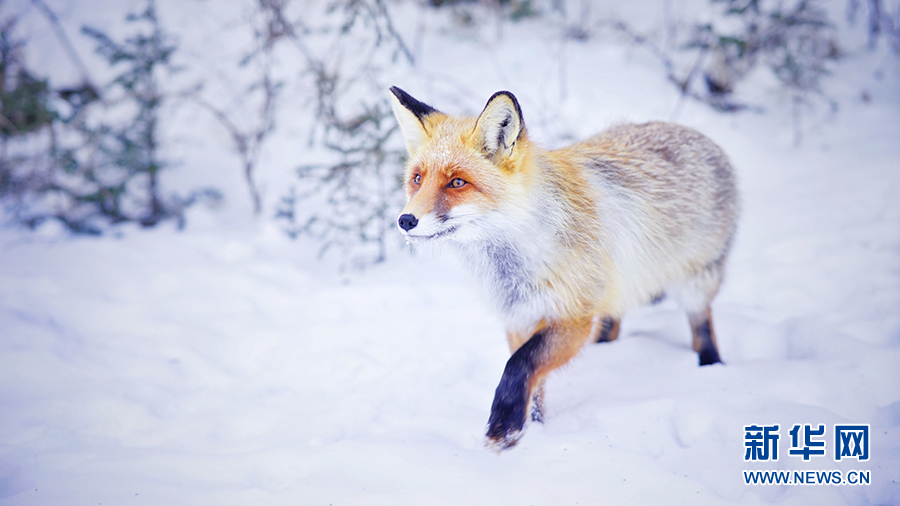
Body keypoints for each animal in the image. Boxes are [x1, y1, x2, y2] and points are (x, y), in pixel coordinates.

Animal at [390, 87, 740, 450]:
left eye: (457, 182)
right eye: (417, 179)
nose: (405, 220)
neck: (516, 265)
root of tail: (701, 137)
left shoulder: (573, 316)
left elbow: (519, 365)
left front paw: (504, 425)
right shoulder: (520, 318)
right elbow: (533, 383)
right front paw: (527, 433)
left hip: (694, 283)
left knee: (702, 325)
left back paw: (710, 366)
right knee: (614, 321)